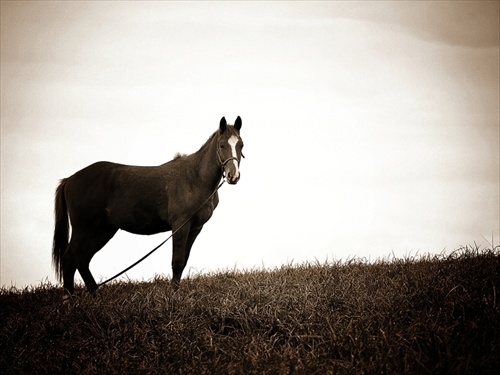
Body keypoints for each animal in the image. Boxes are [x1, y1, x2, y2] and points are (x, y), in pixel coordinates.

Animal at [51, 116, 243, 296]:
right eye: (222, 145)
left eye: (241, 145)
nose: (233, 175)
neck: (194, 178)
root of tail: (69, 180)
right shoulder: (180, 225)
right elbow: (177, 261)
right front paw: (173, 295)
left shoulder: (195, 228)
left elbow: (184, 260)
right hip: (84, 229)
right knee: (70, 259)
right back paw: (70, 298)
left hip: (102, 230)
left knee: (82, 260)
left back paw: (95, 295)